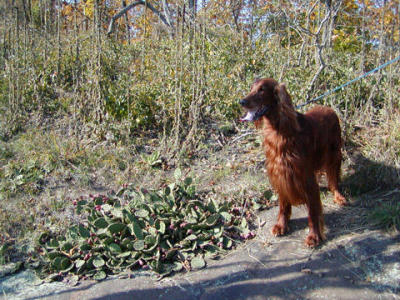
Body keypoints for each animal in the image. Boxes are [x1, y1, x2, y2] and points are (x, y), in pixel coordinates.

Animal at [241, 78, 346, 247]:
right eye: (252, 88)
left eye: (262, 90)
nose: (242, 101)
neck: (278, 130)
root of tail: (328, 108)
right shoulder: (279, 173)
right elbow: (283, 204)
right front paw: (281, 225)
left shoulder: (305, 176)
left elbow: (313, 210)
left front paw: (314, 236)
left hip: (334, 154)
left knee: (333, 179)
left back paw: (339, 196)